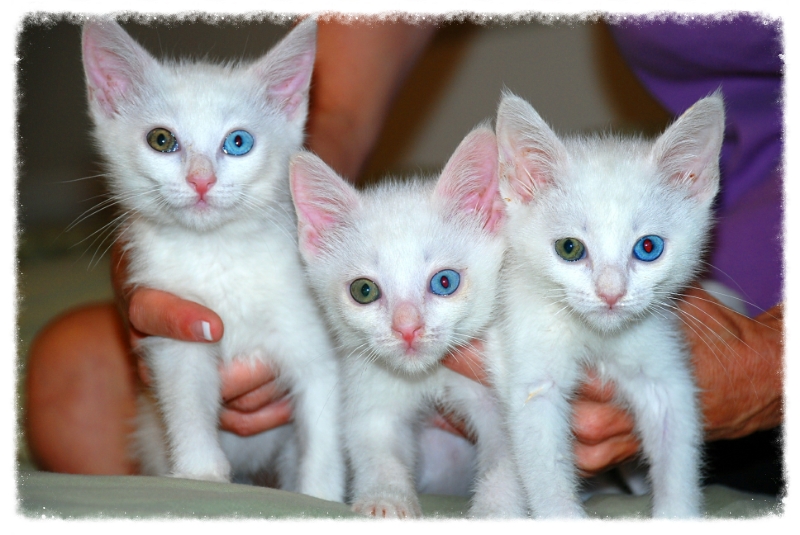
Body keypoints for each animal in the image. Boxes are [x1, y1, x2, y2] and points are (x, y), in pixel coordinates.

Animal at [81, 17, 344, 502]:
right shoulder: (175, 326)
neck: (219, 251)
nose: (201, 181)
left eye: (238, 142)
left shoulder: (317, 346)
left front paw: (321, 497)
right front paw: (200, 474)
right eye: (161, 140)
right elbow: (185, 401)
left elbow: (324, 426)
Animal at [488, 93, 724, 520]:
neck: (595, 335)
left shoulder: (662, 365)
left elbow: (677, 439)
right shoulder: (528, 356)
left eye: (648, 247)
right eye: (569, 248)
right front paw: (562, 515)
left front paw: (675, 513)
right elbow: (542, 460)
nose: (610, 293)